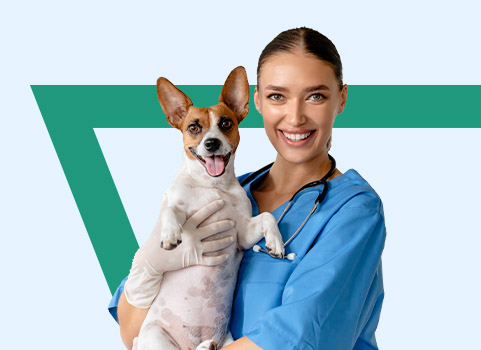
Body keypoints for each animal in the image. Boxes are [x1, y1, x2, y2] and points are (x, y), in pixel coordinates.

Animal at [132, 66, 284, 350]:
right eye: (193, 127)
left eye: (225, 123)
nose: (211, 143)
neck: (212, 186)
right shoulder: (177, 203)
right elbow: (170, 210)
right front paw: (170, 234)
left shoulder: (242, 234)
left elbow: (268, 216)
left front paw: (276, 243)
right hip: (157, 336)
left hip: (227, 339)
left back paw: (206, 345)